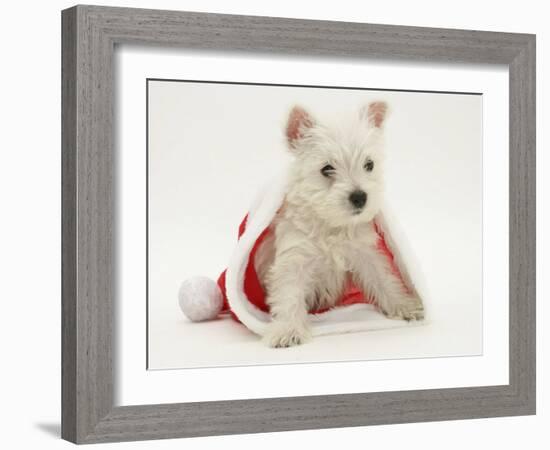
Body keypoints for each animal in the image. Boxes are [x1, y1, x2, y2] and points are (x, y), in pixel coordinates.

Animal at [258, 102, 426, 348]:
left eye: (369, 164)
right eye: (327, 168)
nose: (360, 197)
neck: (332, 225)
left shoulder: (365, 253)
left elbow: (384, 279)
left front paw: (405, 306)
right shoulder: (293, 258)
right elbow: (289, 294)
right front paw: (288, 330)